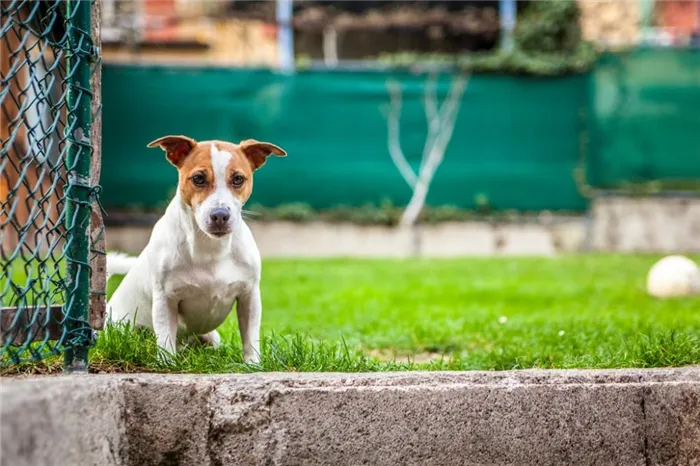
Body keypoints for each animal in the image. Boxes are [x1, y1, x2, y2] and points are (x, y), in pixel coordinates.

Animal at [105, 135, 286, 364]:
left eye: (238, 179)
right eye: (199, 178)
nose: (220, 215)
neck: (209, 247)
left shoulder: (249, 297)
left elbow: (250, 337)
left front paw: (252, 365)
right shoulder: (166, 300)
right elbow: (165, 337)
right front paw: (167, 364)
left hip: (211, 337)